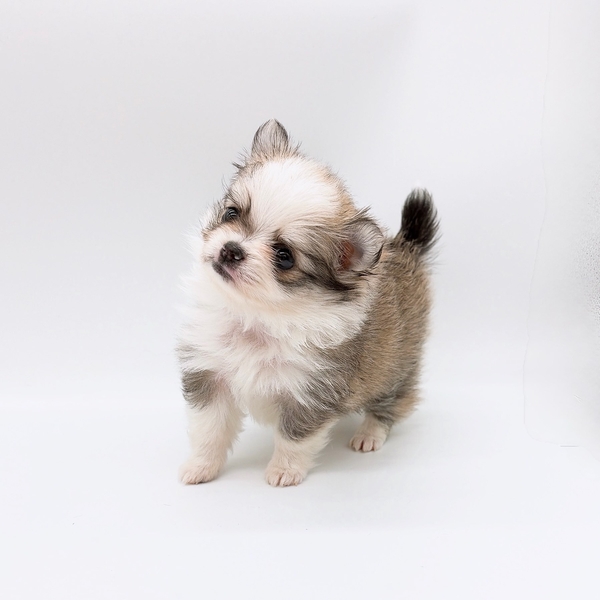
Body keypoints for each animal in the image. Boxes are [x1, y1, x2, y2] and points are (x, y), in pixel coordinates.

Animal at [177, 120, 438, 486]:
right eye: (231, 213)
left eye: (284, 256)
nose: (231, 249)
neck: (258, 316)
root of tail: (407, 247)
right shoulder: (209, 375)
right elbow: (209, 431)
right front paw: (201, 466)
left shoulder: (308, 394)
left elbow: (293, 437)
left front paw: (284, 471)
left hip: (395, 366)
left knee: (392, 402)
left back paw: (369, 433)